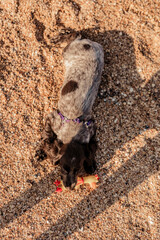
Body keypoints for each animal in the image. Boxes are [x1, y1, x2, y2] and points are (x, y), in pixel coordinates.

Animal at [35, 36, 104, 189]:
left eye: (78, 169)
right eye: (63, 168)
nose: (69, 186)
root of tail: (89, 43)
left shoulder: (92, 125)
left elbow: (91, 148)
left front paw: (91, 164)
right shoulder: (52, 117)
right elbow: (46, 137)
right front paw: (42, 152)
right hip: (67, 51)